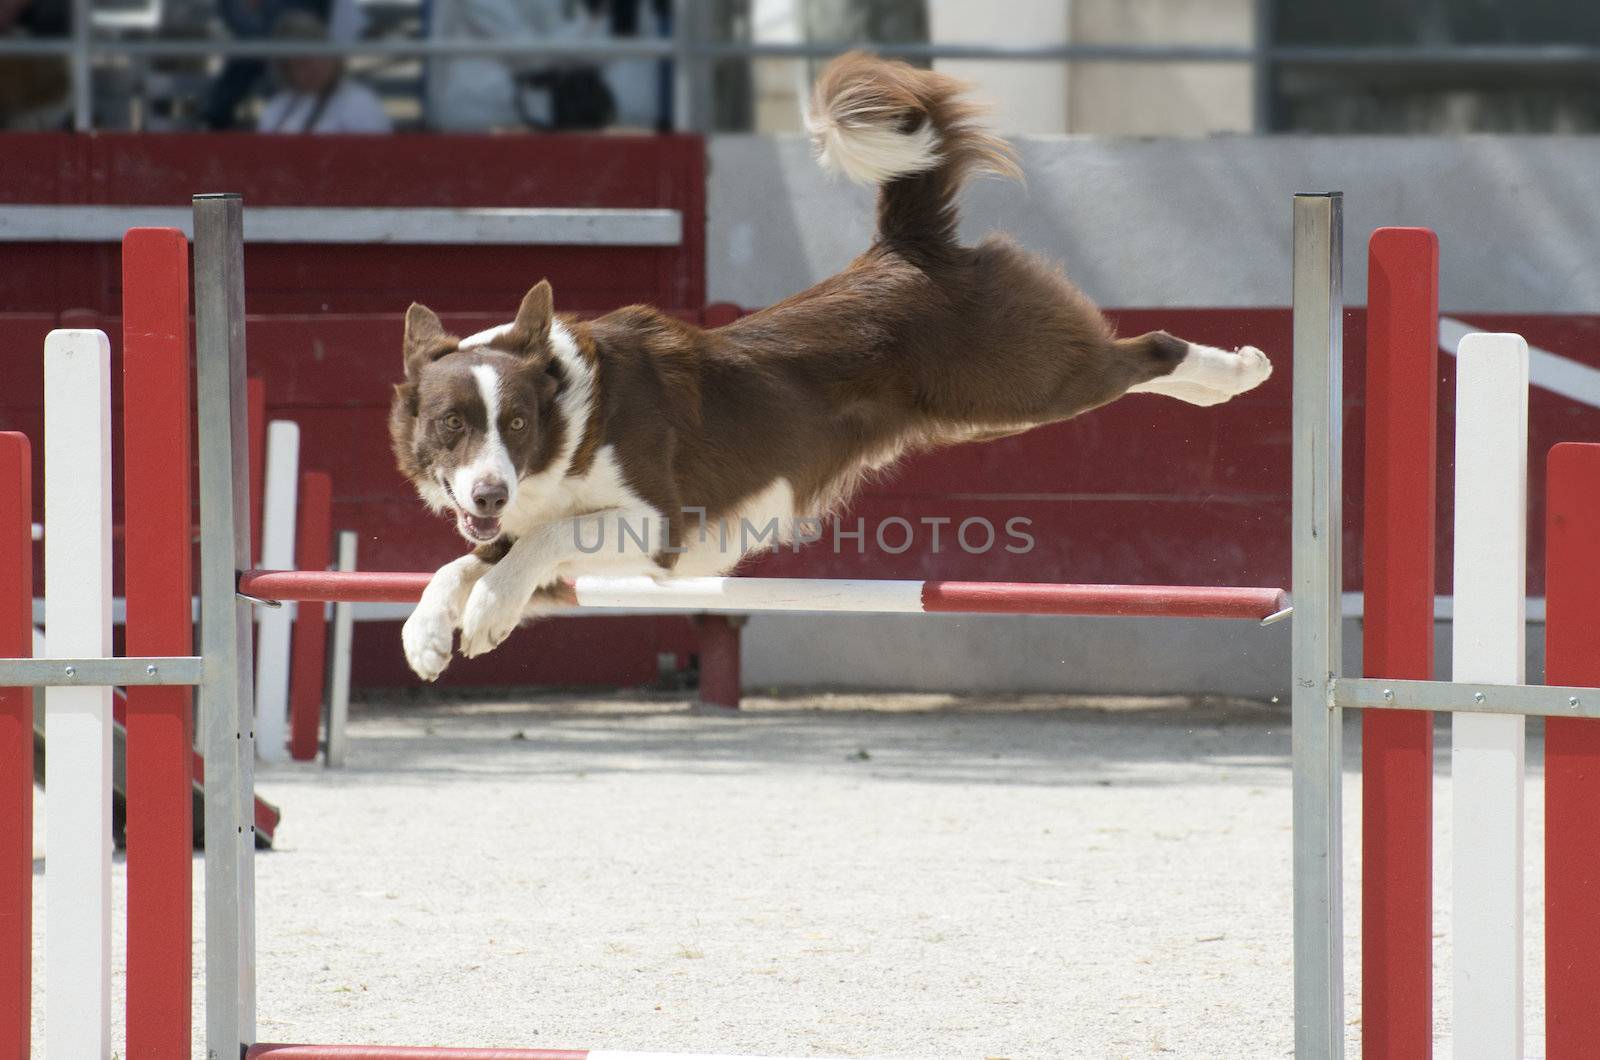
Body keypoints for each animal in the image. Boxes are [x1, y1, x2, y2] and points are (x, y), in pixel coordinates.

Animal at [390, 52, 1273, 682]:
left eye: (515, 422)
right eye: (451, 425)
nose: (488, 493)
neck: (573, 419)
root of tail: (904, 248)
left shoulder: (662, 523)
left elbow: (537, 545)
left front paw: (487, 613)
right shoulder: (555, 541)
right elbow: (461, 563)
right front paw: (430, 632)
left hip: (1020, 381)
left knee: (1145, 352)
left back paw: (1236, 372)